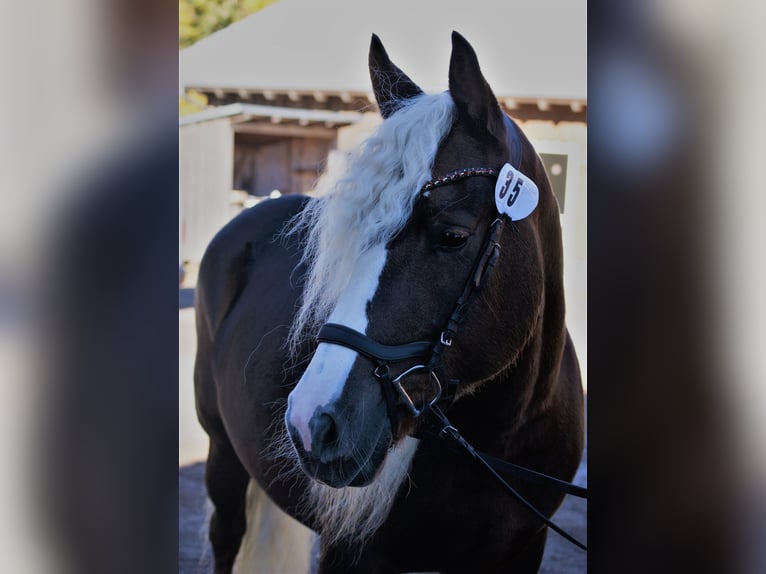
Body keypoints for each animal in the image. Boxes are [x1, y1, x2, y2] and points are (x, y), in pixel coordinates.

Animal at [194, 31, 584, 574]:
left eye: (452, 235)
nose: (311, 422)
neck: (498, 436)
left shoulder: (523, 549)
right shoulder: (351, 551)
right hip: (222, 454)